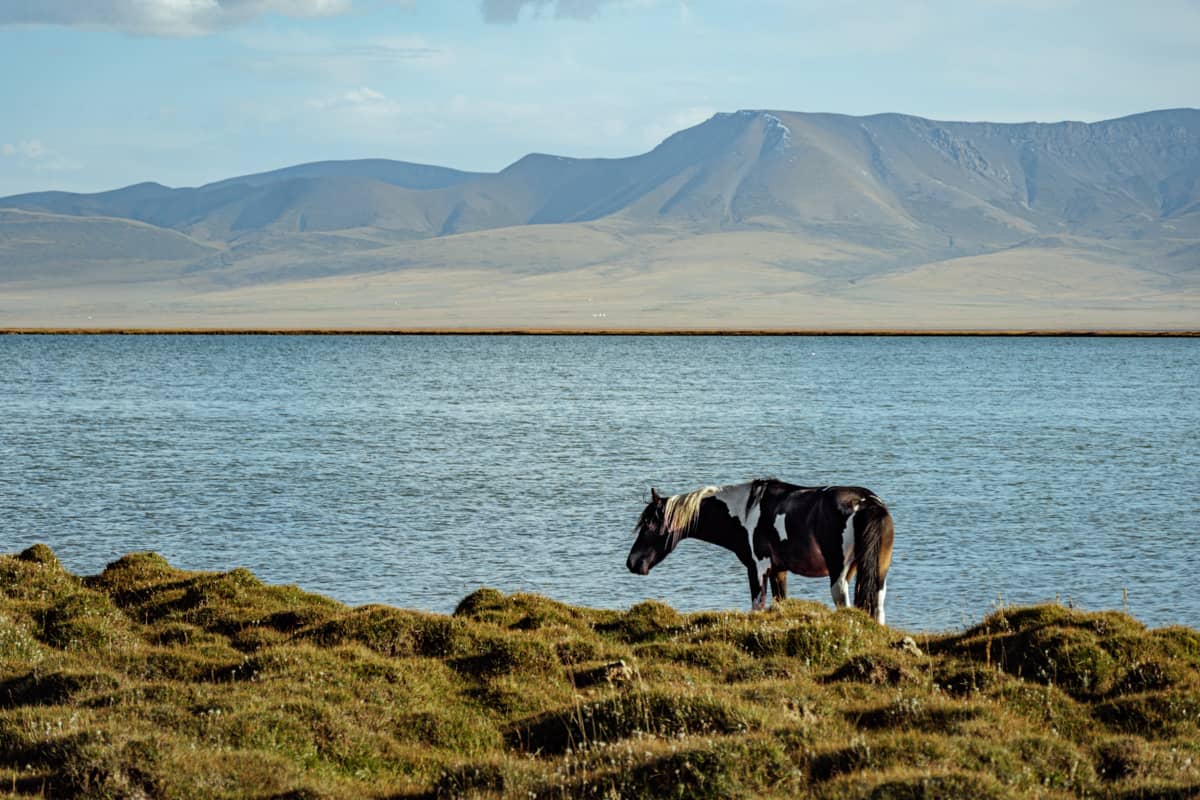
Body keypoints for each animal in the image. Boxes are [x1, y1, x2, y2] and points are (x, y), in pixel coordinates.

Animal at [625, 478, 894, 624]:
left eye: (650, 525)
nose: (632, 563)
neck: (744, 512)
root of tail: (868, 504)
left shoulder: (758, 569)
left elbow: (757, 606)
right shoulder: (778, 571)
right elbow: (780, 603)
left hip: (839, 574)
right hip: (877, 573)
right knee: (878, 608)